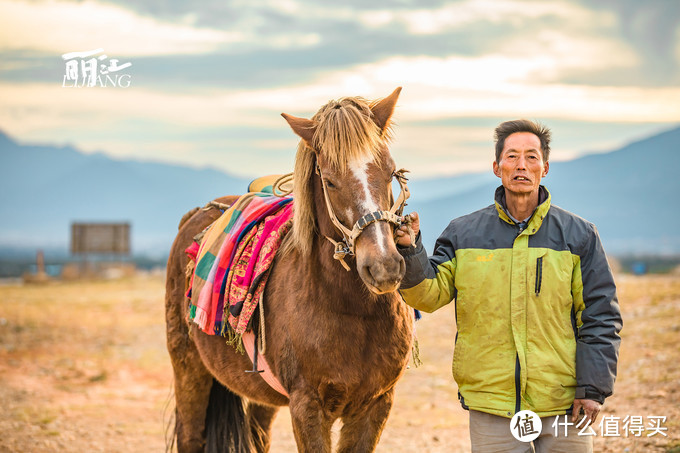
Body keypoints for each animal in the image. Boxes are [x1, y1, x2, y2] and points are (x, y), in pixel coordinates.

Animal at [167, 86, 418, 450]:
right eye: (329, 181)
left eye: (390, 172)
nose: (384, 266)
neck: (354, 313)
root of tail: (198, 214)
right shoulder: (307, 407)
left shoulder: (376, 405)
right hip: (188, 367)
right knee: (190, 435)